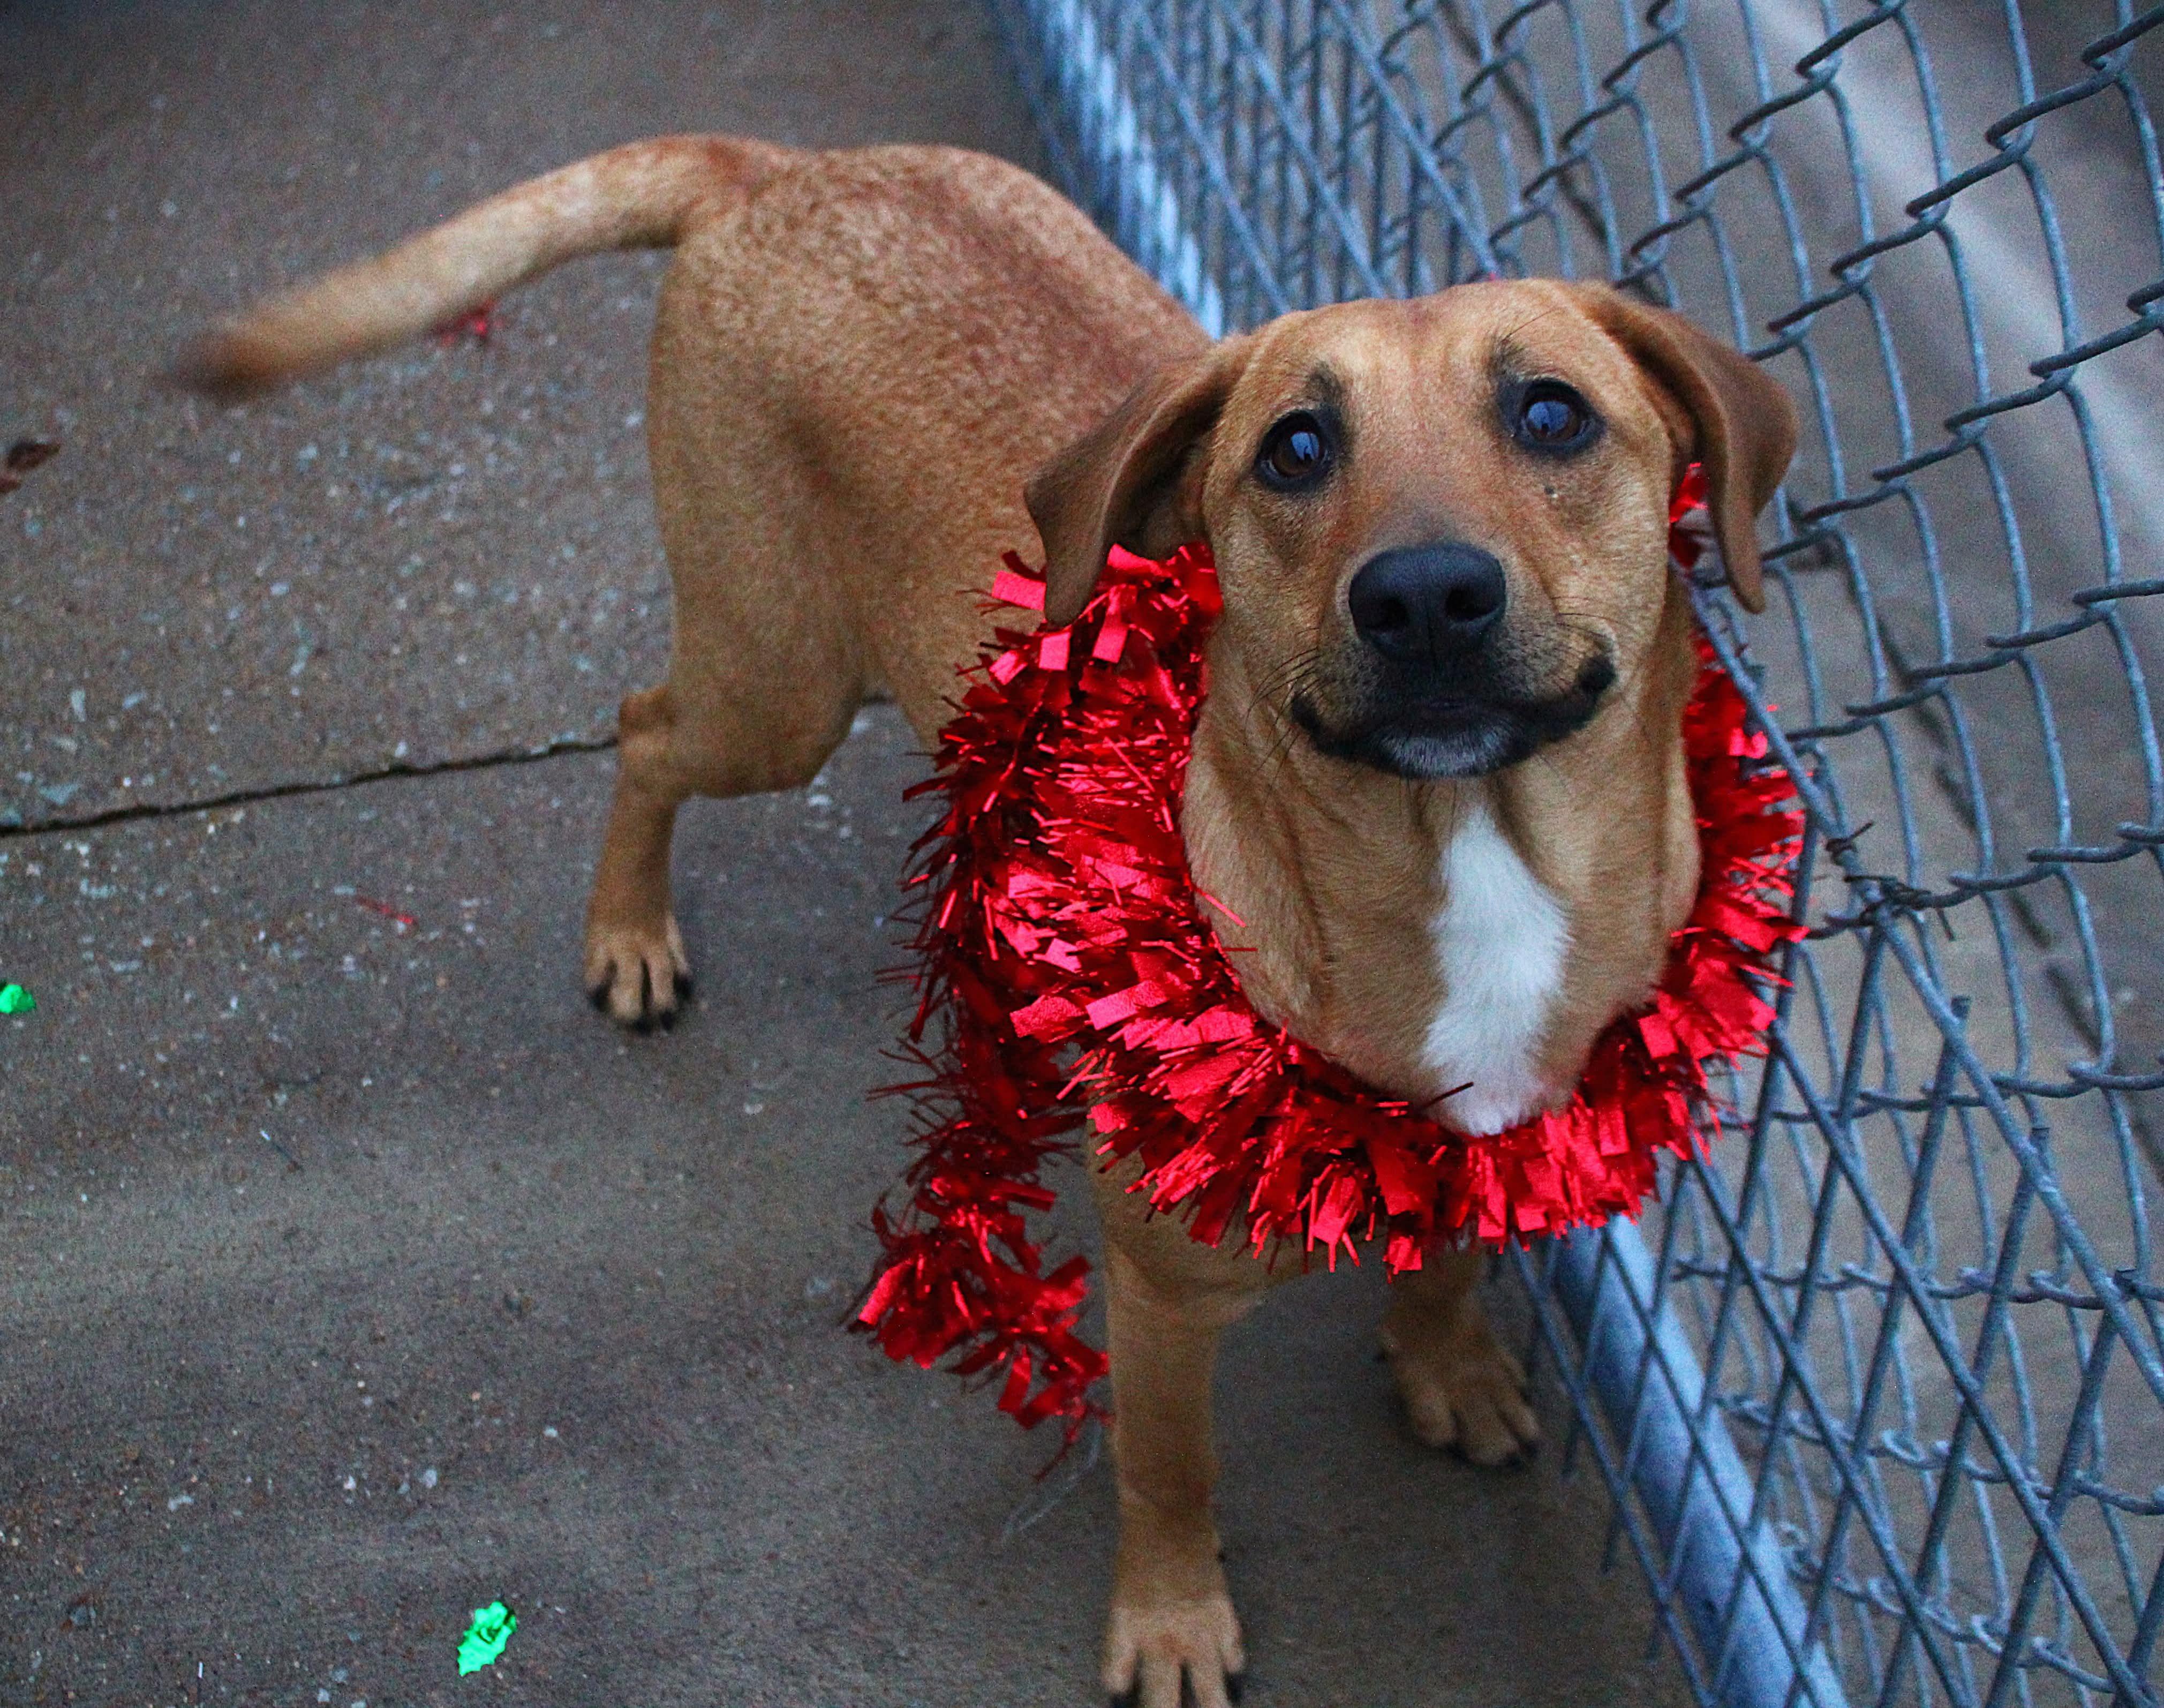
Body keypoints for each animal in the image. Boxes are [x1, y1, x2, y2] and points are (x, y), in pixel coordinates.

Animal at [179, 135, 1796, 1708]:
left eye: (1553, 415)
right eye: (1294, 447)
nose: (1424, 596)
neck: (1471, 859)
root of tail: (774, 168)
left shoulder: (1509, 1132)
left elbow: (1460, 1253)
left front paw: (1447, 1361)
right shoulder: (1158, 1295)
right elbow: (1169, 1473)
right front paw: (1170, 1620)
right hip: (774, 686)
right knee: (642, 731)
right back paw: (629, 933)